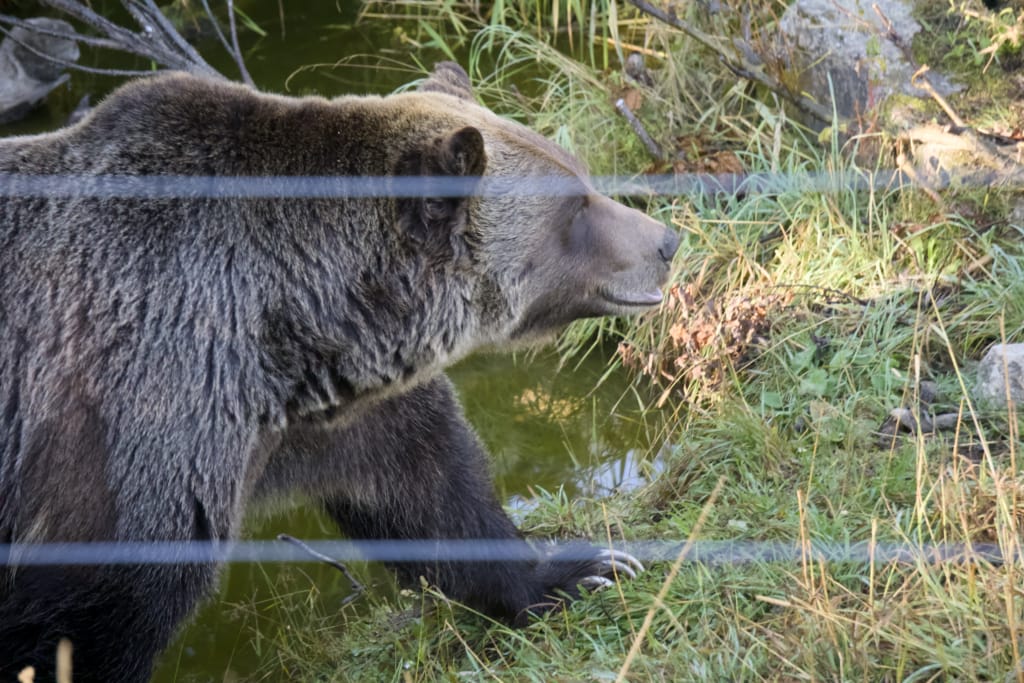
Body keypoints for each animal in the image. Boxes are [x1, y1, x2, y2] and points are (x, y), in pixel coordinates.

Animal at [0, 62, 679, 682]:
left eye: (581, 173)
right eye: (574, 209)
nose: (666, 241)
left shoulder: (331, 415)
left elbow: (430, 488)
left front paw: (585, 571)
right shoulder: (140, 413)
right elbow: (99, 610)